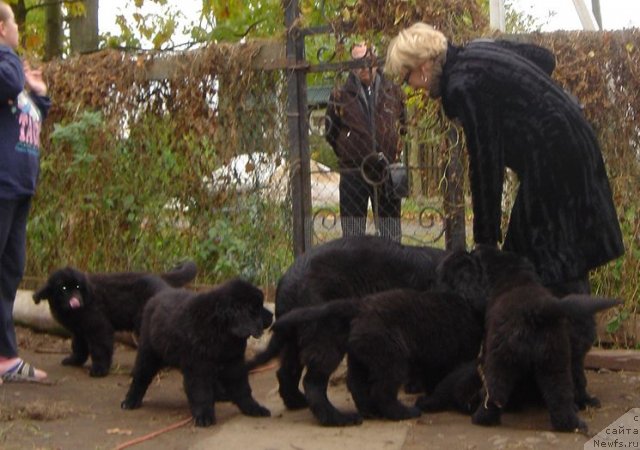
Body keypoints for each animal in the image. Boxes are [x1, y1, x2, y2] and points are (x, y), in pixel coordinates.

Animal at [32, 260, 196, 376]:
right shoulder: (79, 330)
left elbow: (100, 349)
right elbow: (78, 347)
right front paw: (74, 360)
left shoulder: (99, 327)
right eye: (64, 288)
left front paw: (99, 370)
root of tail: (160, 277)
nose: (77, 300)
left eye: (78, 287)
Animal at [121, 276, 272, 428]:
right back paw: (130, 401)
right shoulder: (198, 366)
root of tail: (160, 294)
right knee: (140, 376)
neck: (221, 329)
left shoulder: (234, 362)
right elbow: (201, 392)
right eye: (256, 308)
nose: (272, 316)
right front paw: (204, 416)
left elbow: (243, 388)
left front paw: (253, 408)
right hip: (148, 353)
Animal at [272, 286, 484, 424]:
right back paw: (401, 412)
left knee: (356, 385)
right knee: (381, 391)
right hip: (393, 359)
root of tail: (359, 306)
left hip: (361, 357)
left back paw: (370, 412)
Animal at [470, 246, 620, 432]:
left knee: (495, 391)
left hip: (502, 360)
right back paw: (569, 424)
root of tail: (537, 310)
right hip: (555, 359)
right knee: (561, 394)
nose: (474, 248)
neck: (516, 278)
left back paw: (481, 418)